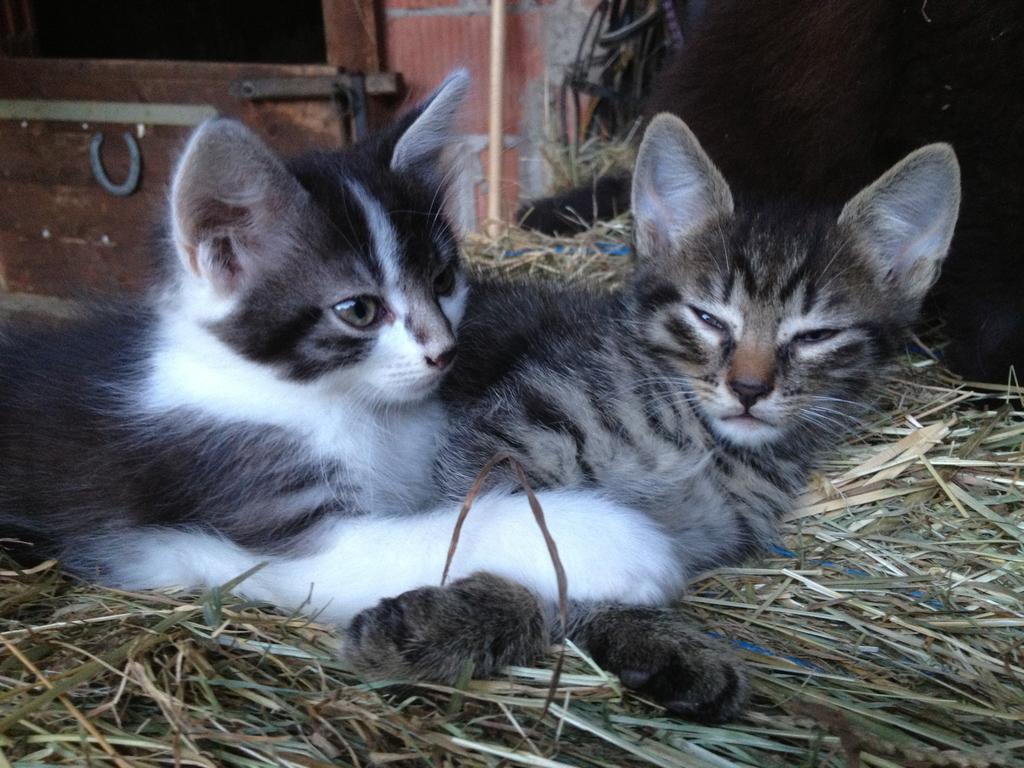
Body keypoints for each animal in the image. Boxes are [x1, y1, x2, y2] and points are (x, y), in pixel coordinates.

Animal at [348, 112, 962, 720]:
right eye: (709, 319)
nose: (749, 388)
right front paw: (456, 623)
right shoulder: (502, 441)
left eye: (816, 336)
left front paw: (660, 646)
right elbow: (523, 541)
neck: (693, 438)